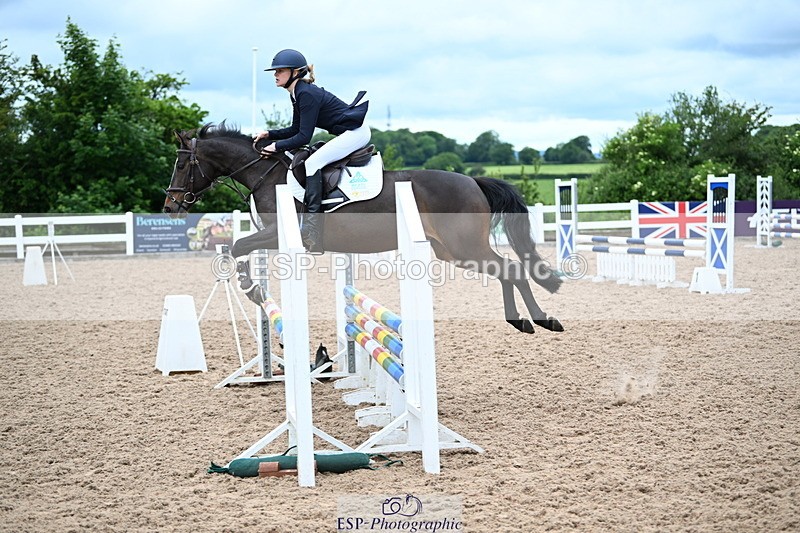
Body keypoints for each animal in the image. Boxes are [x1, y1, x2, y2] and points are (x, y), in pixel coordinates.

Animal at [163, 123, 564, 335]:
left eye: (182, 166)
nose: (170, 206)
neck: (266, 175)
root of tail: (473, 181)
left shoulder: (279, 233)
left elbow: (238, 247)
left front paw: (252, 290)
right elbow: (240, 249)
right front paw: (255, 290)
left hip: (464, 247)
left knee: (511, 269)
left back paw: (541, 320)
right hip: (452, 252)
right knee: (505, 270)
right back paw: (524, 322)